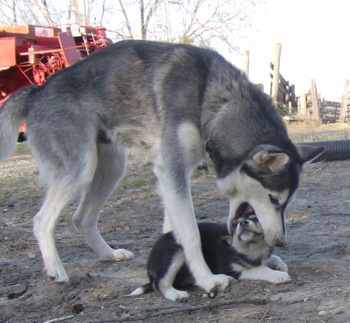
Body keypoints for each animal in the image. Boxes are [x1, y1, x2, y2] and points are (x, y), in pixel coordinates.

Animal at [130, 209, 292, 302]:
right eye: (235, 224)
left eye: (255, 218)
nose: (243, 223)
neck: (252, 248)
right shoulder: (233, 269)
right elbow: (260, 269)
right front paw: (279, 275)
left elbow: (271, 259)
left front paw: (280, 265)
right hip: (176, 251)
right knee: (160, 283)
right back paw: (176, 295)